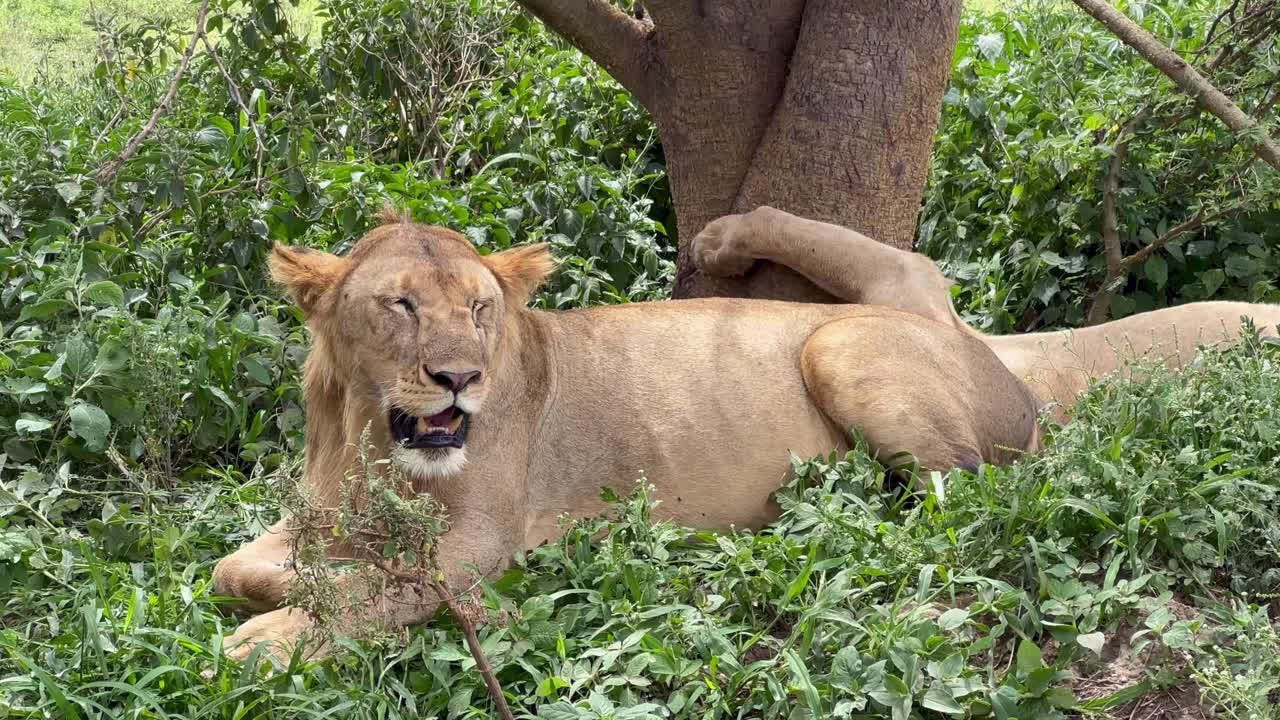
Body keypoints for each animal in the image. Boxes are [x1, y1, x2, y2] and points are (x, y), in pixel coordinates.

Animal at [212, 206, 1280, 660]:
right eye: (398, 305)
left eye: (480, 311)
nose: (460, 380)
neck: (362, 437)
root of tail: (994, 360)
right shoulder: (314, 517)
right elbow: (236, 566)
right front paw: (292, 593)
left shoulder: (481, 546)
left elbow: (389, 590)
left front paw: (268, 641)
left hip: (842, 342)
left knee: (976, 495)